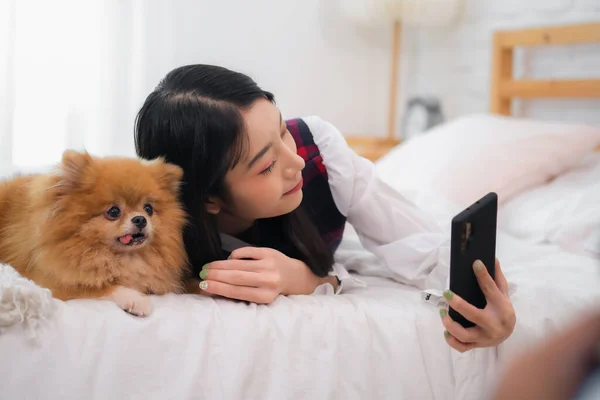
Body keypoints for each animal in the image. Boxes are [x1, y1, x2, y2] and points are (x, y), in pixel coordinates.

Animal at [0, 151, 189, 318]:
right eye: (113, 211)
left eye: (148, 209)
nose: (141, 219)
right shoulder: (53, 283)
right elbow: (100, 287)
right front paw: (136, 300)